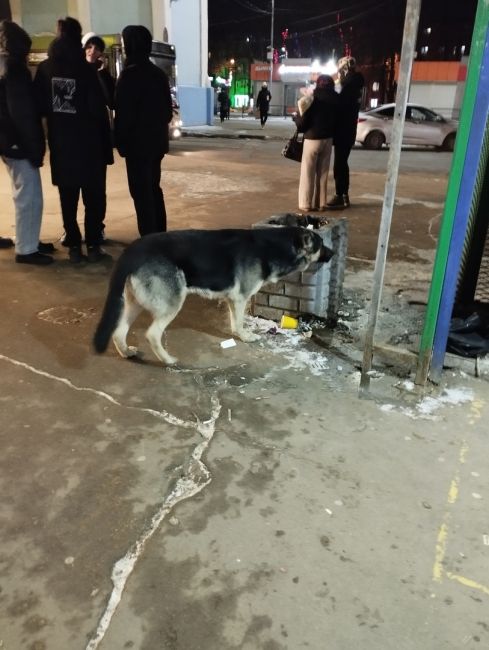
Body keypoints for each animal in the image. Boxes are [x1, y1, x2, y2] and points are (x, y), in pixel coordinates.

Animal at [93, 225, 334, 362]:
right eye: (322, 245)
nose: (333, 254)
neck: (274, 247)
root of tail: (132, 252)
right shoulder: (240, 298)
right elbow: (240, 323)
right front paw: (246, 337)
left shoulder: (232, 300)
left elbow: (234, 322)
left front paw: (238, 335)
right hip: (172, 303)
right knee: (152, 334)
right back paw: (167, 360)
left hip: (134, 304)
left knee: (118, 332)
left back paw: (127, 353)